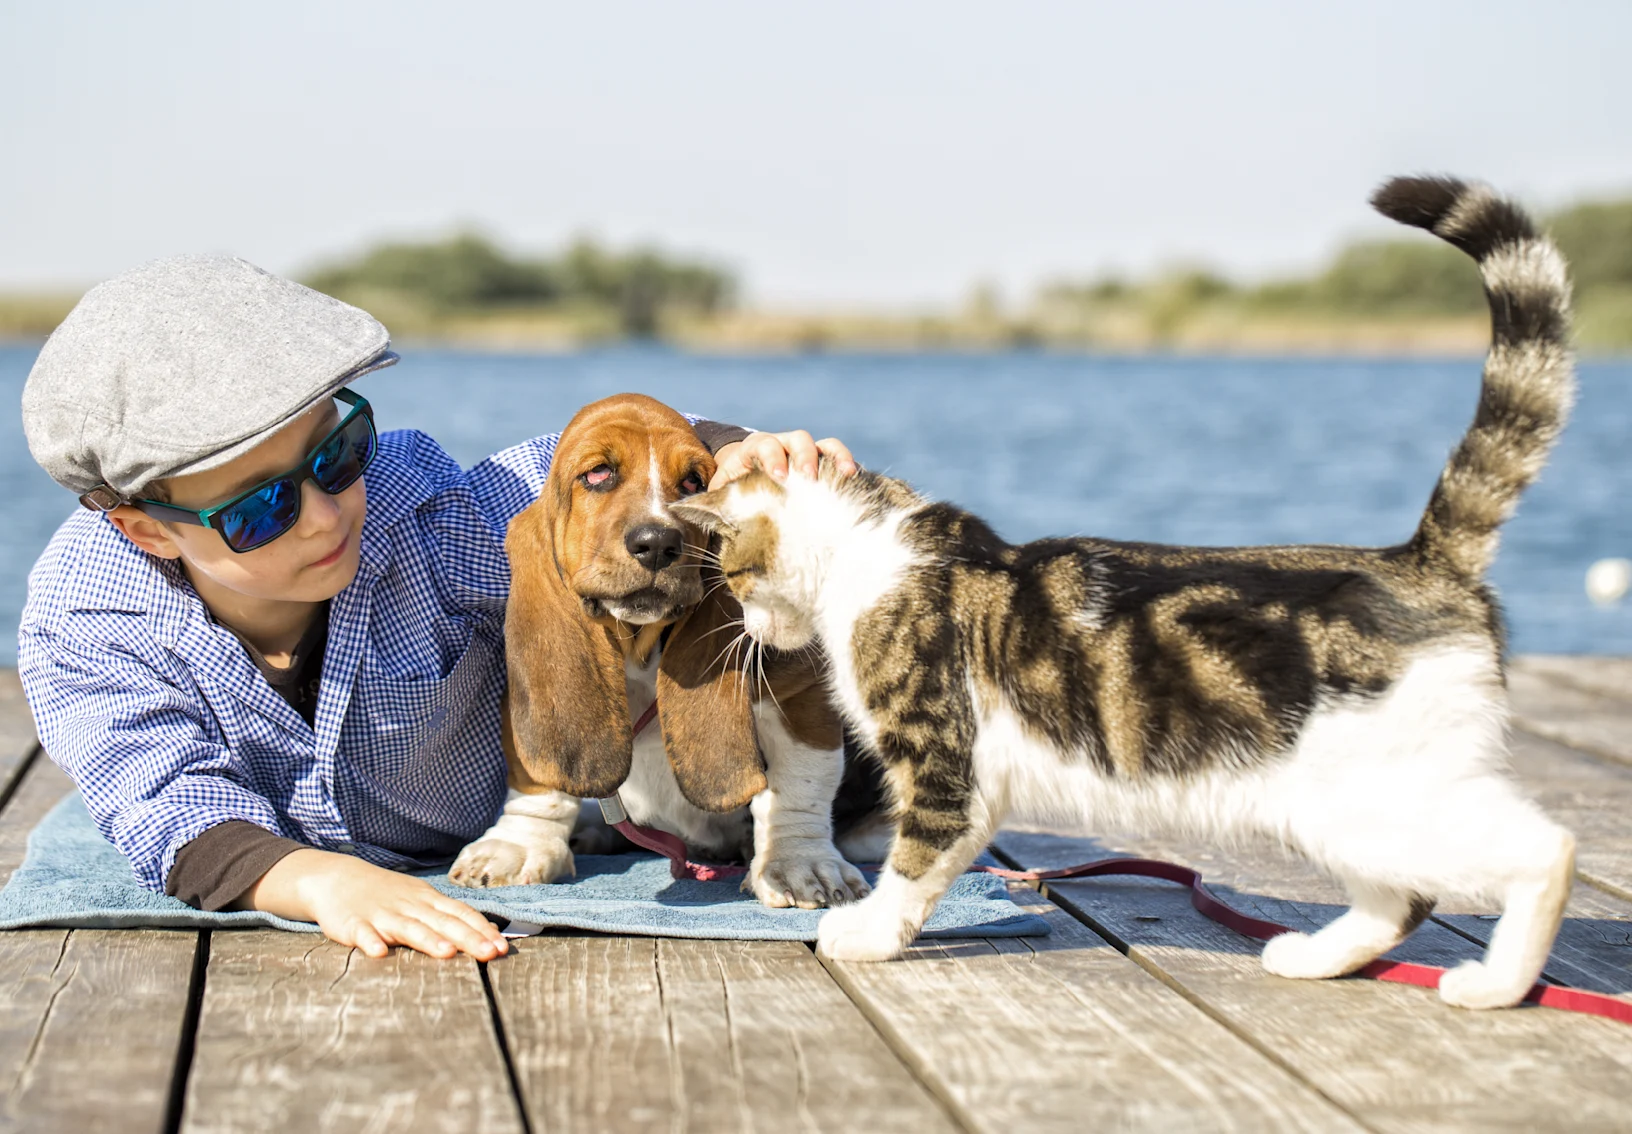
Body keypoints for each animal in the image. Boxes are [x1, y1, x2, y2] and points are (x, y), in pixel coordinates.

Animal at [669, 177, 1573, 1011]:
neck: (867, 544)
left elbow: (918, 859)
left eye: (735, 577)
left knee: (1545, 851)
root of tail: (1420, 561)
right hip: (1341, 807)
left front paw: (866, 934)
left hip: (1389, 789)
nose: (753, 628)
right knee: (1403, 897)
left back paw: (1494, 982)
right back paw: (1317, 956)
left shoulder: (944, 756)